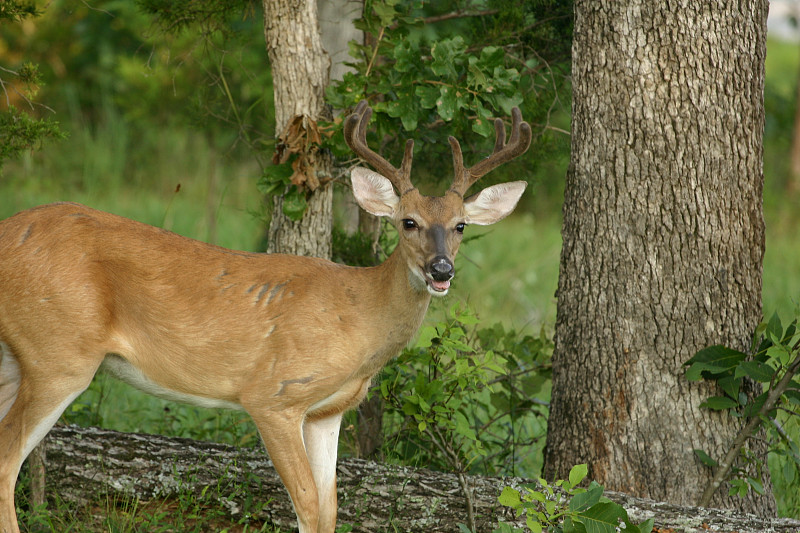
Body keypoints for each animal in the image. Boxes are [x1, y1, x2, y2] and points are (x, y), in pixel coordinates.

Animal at [0, 101, 532, 532]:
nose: (441, 270)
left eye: (460, 226)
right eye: (408, 222)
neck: (359, 316)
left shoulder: (327, 412)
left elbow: (329, 510)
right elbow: (307, 506)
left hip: (17, 358)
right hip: (59, 354)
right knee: (7, 459)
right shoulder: (274, 395)